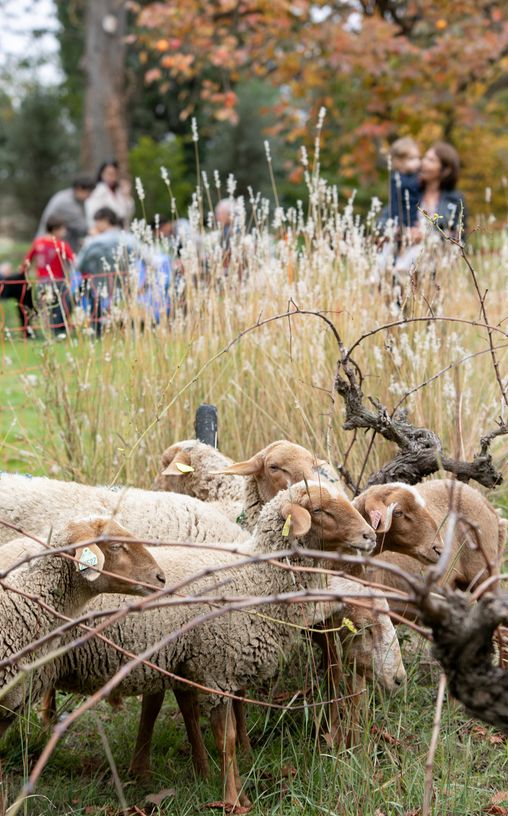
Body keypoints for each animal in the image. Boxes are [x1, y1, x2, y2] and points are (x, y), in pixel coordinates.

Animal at [44, 481, 377, 806]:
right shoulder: (218, 670)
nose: (370, 536)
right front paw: (232, 800)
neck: (254, 577)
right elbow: (225, 740)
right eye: (319, 510)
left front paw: (237, 792)